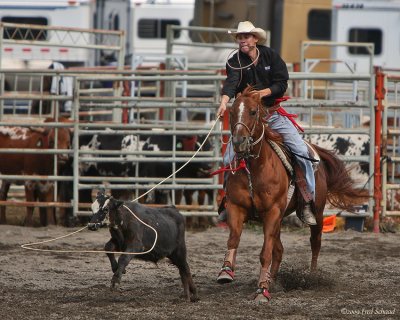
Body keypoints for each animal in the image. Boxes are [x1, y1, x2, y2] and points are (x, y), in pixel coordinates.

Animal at [217, 88, 368, 302]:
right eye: (231, 113)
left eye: (253, 112)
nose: (239, 142)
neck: (255, 168)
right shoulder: (237, 208)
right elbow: (234, 239)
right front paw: (226, 272)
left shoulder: (272, 212)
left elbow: (265, 253)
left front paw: (261, 291)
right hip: (277, 220)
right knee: (279, 250)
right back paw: (271, 279)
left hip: (317, 212)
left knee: (315, 243)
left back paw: (311, 276)